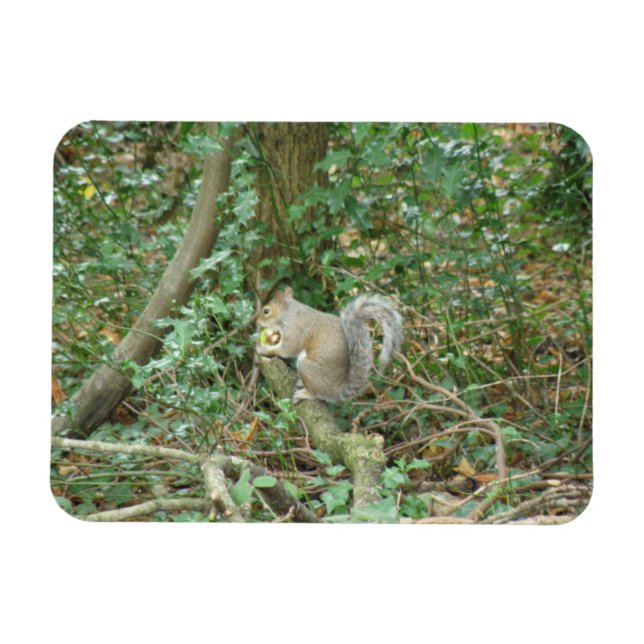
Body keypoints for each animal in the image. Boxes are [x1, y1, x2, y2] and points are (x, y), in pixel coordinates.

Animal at [256, 286, 403, 402]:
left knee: (318, 395)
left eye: (266, 311)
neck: (289, 314)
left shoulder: (296, 330)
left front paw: (264, 349)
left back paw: (306, 394)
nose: (257, 322)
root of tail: (336, 390)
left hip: (307, 369)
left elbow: (287, 349)